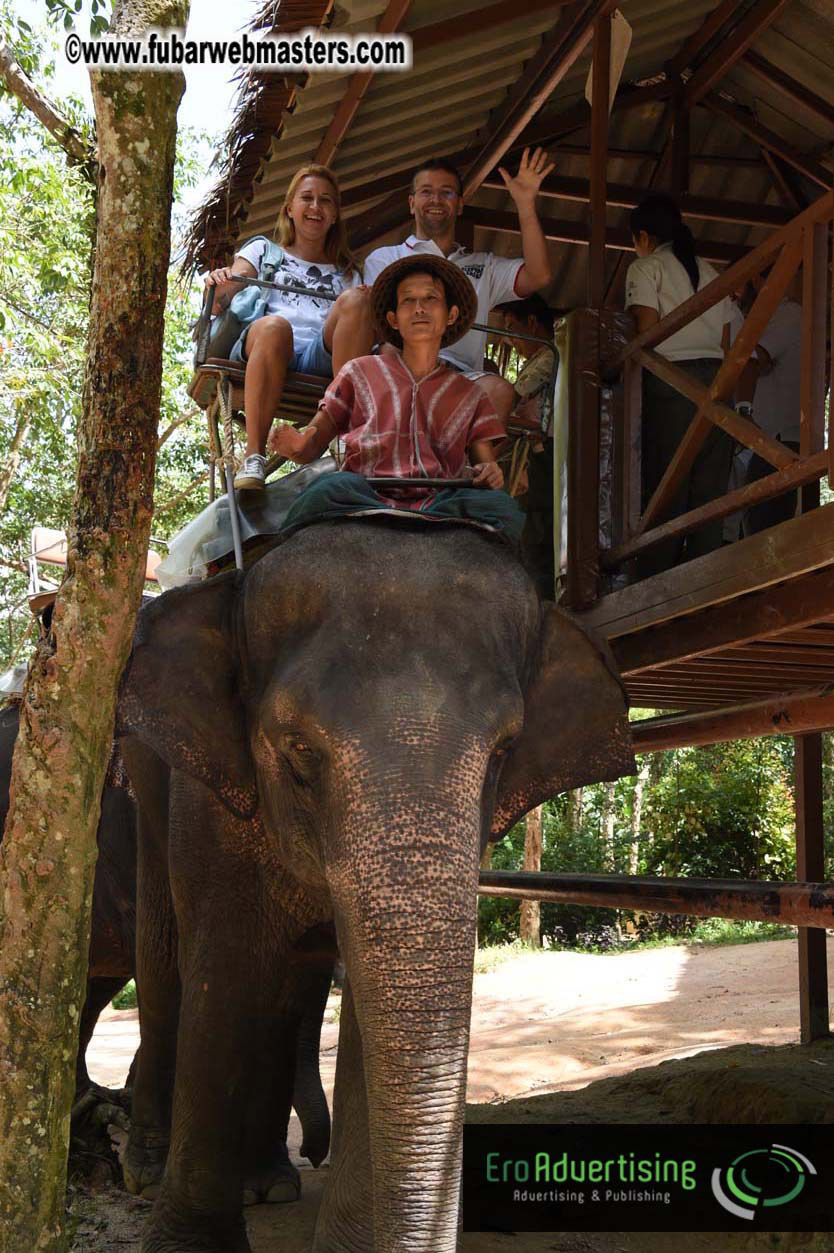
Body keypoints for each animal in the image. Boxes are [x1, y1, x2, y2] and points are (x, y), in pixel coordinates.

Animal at [116, 516, 634, 1253]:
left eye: (504, 751)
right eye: (299, 751)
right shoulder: (211, 805)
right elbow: (226, 971)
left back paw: (269, 1182)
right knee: (165, 960)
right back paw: (146, 1170)